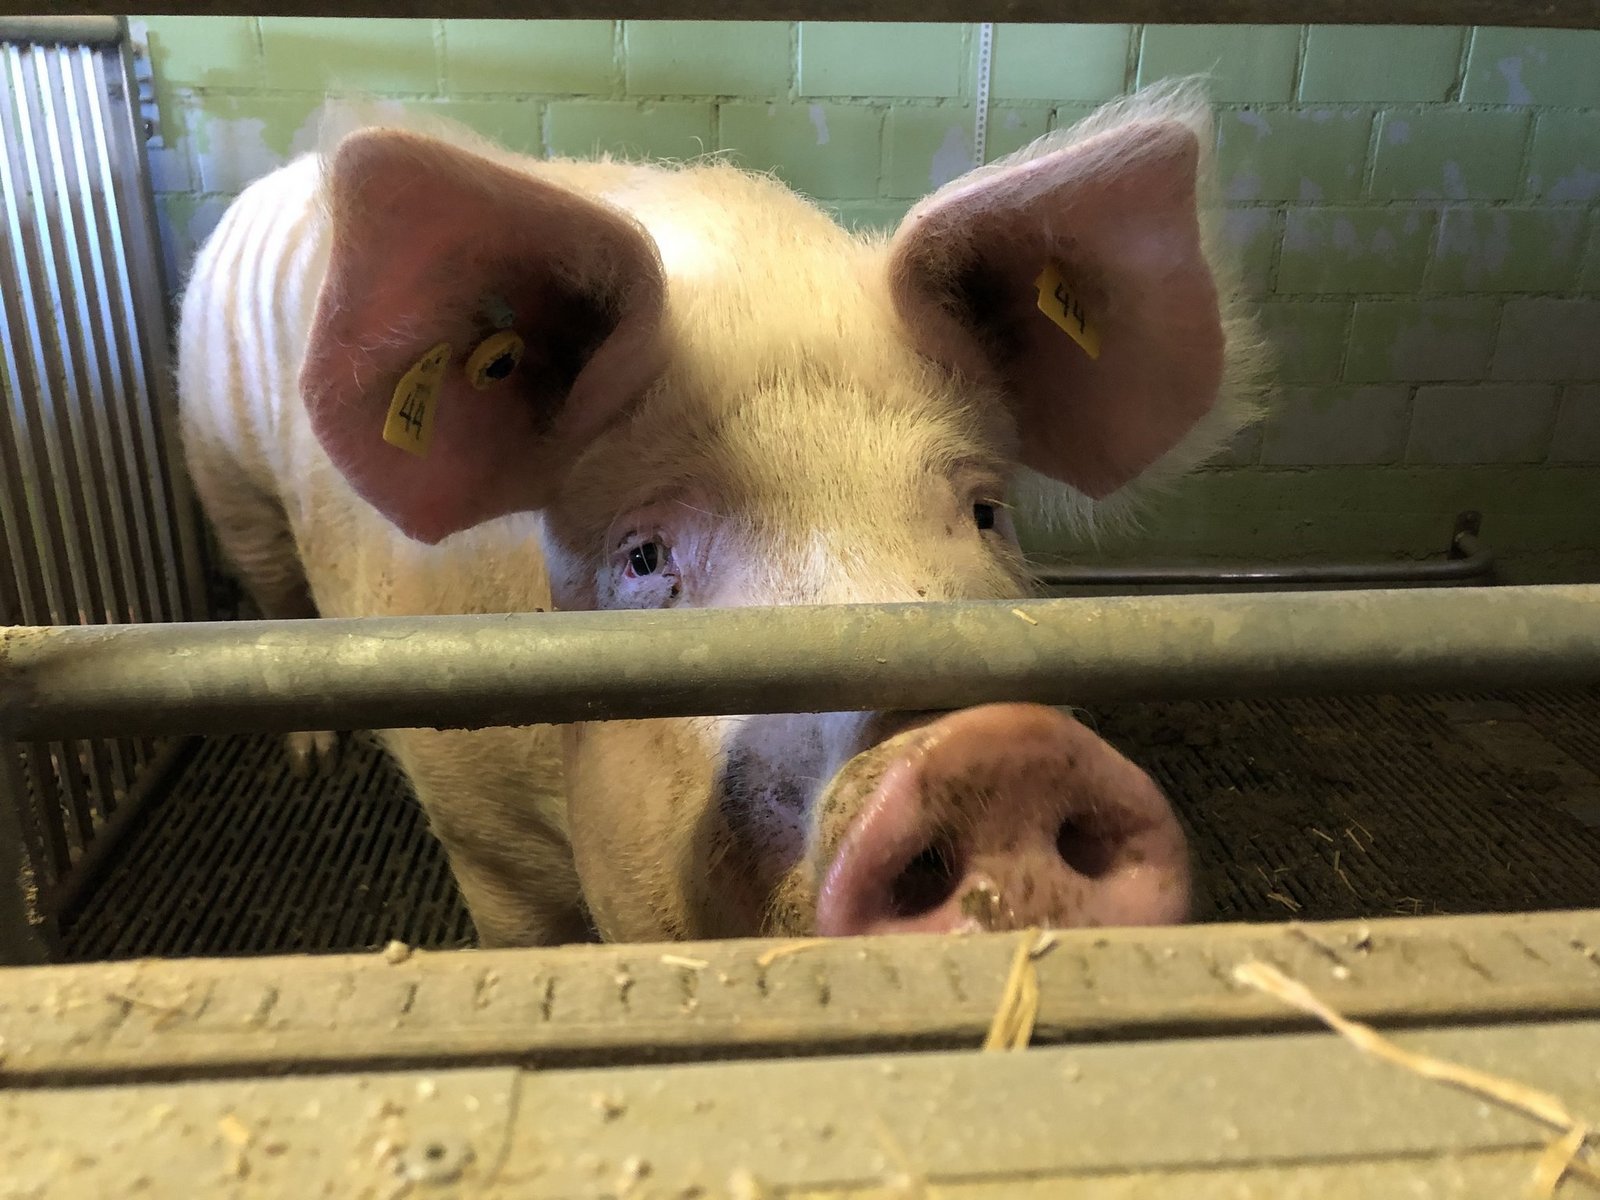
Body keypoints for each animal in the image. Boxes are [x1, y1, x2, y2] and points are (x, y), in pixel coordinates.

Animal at [177, 81, 1267, 947]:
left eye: (986, 512)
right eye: (643, 556)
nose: (994, 747)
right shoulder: (477, 827)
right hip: (221, 467)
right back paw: (310, 754)